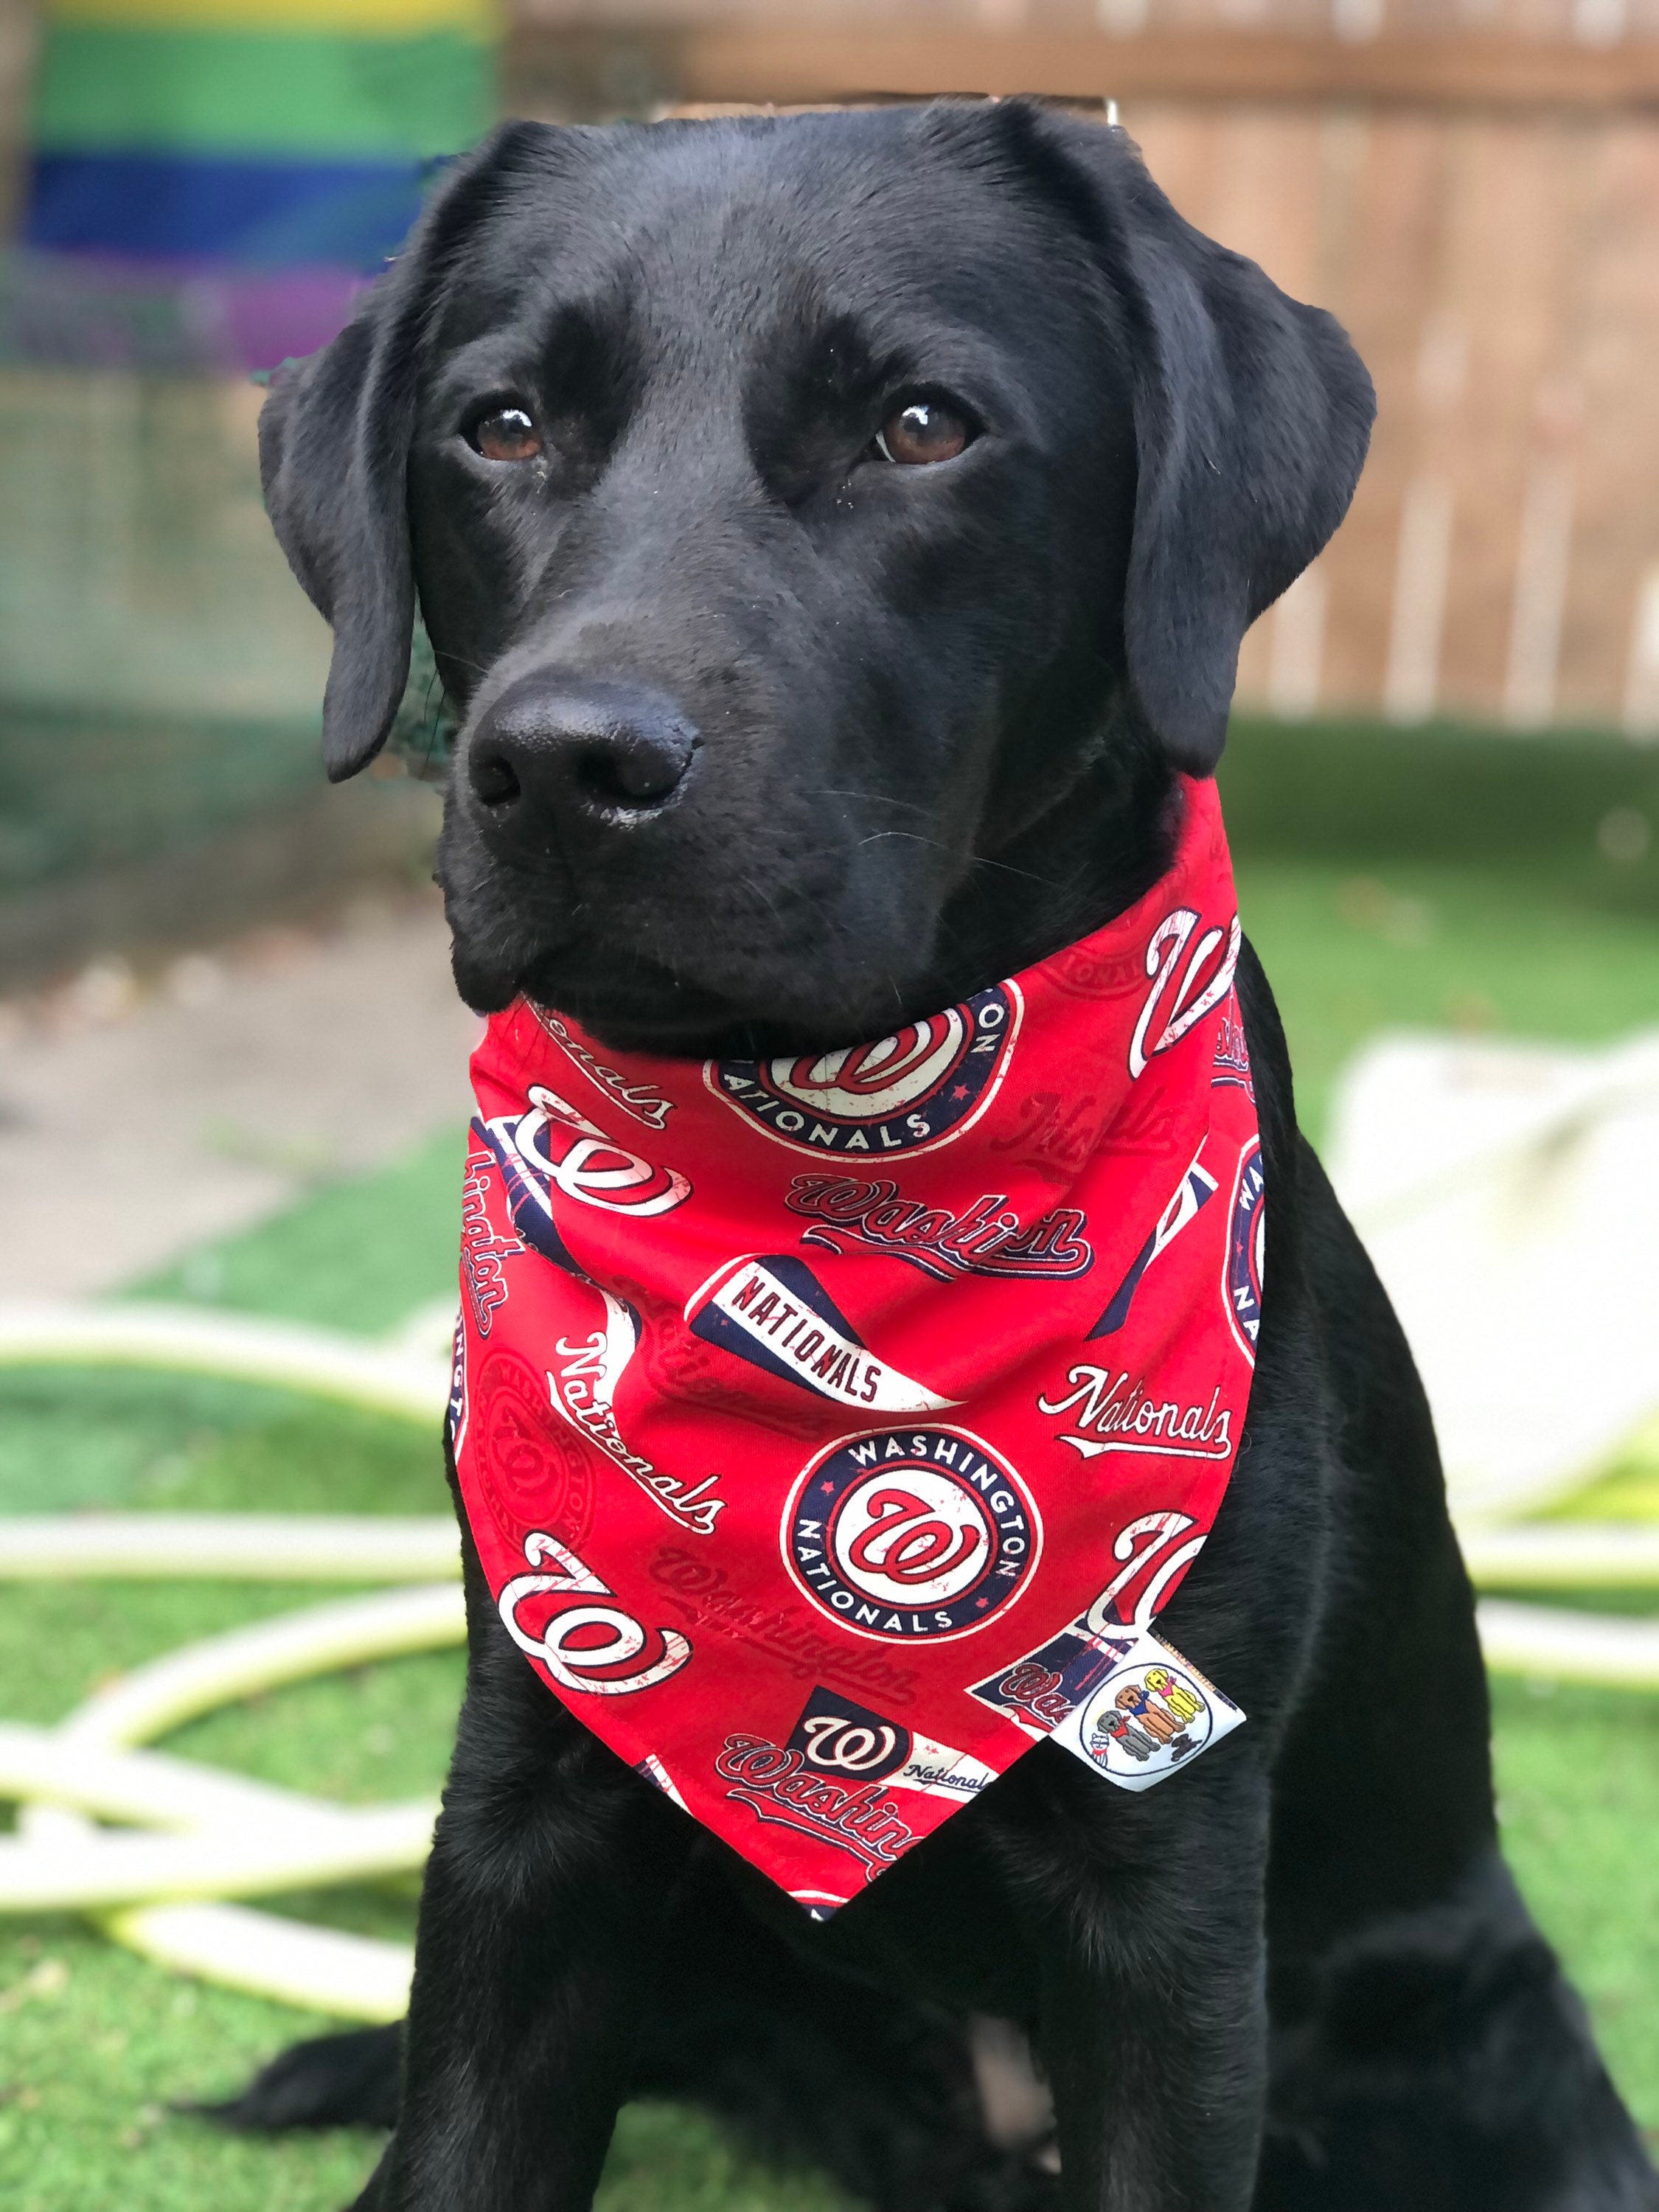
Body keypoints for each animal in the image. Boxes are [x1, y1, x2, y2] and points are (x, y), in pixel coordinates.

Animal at [228, 100, 1655, 2212]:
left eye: (919, 425)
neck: (831, 1167)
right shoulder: (531, 1797)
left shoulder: (1164, 1858)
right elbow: (471, 2128)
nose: (562, 763)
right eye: (499, 426)